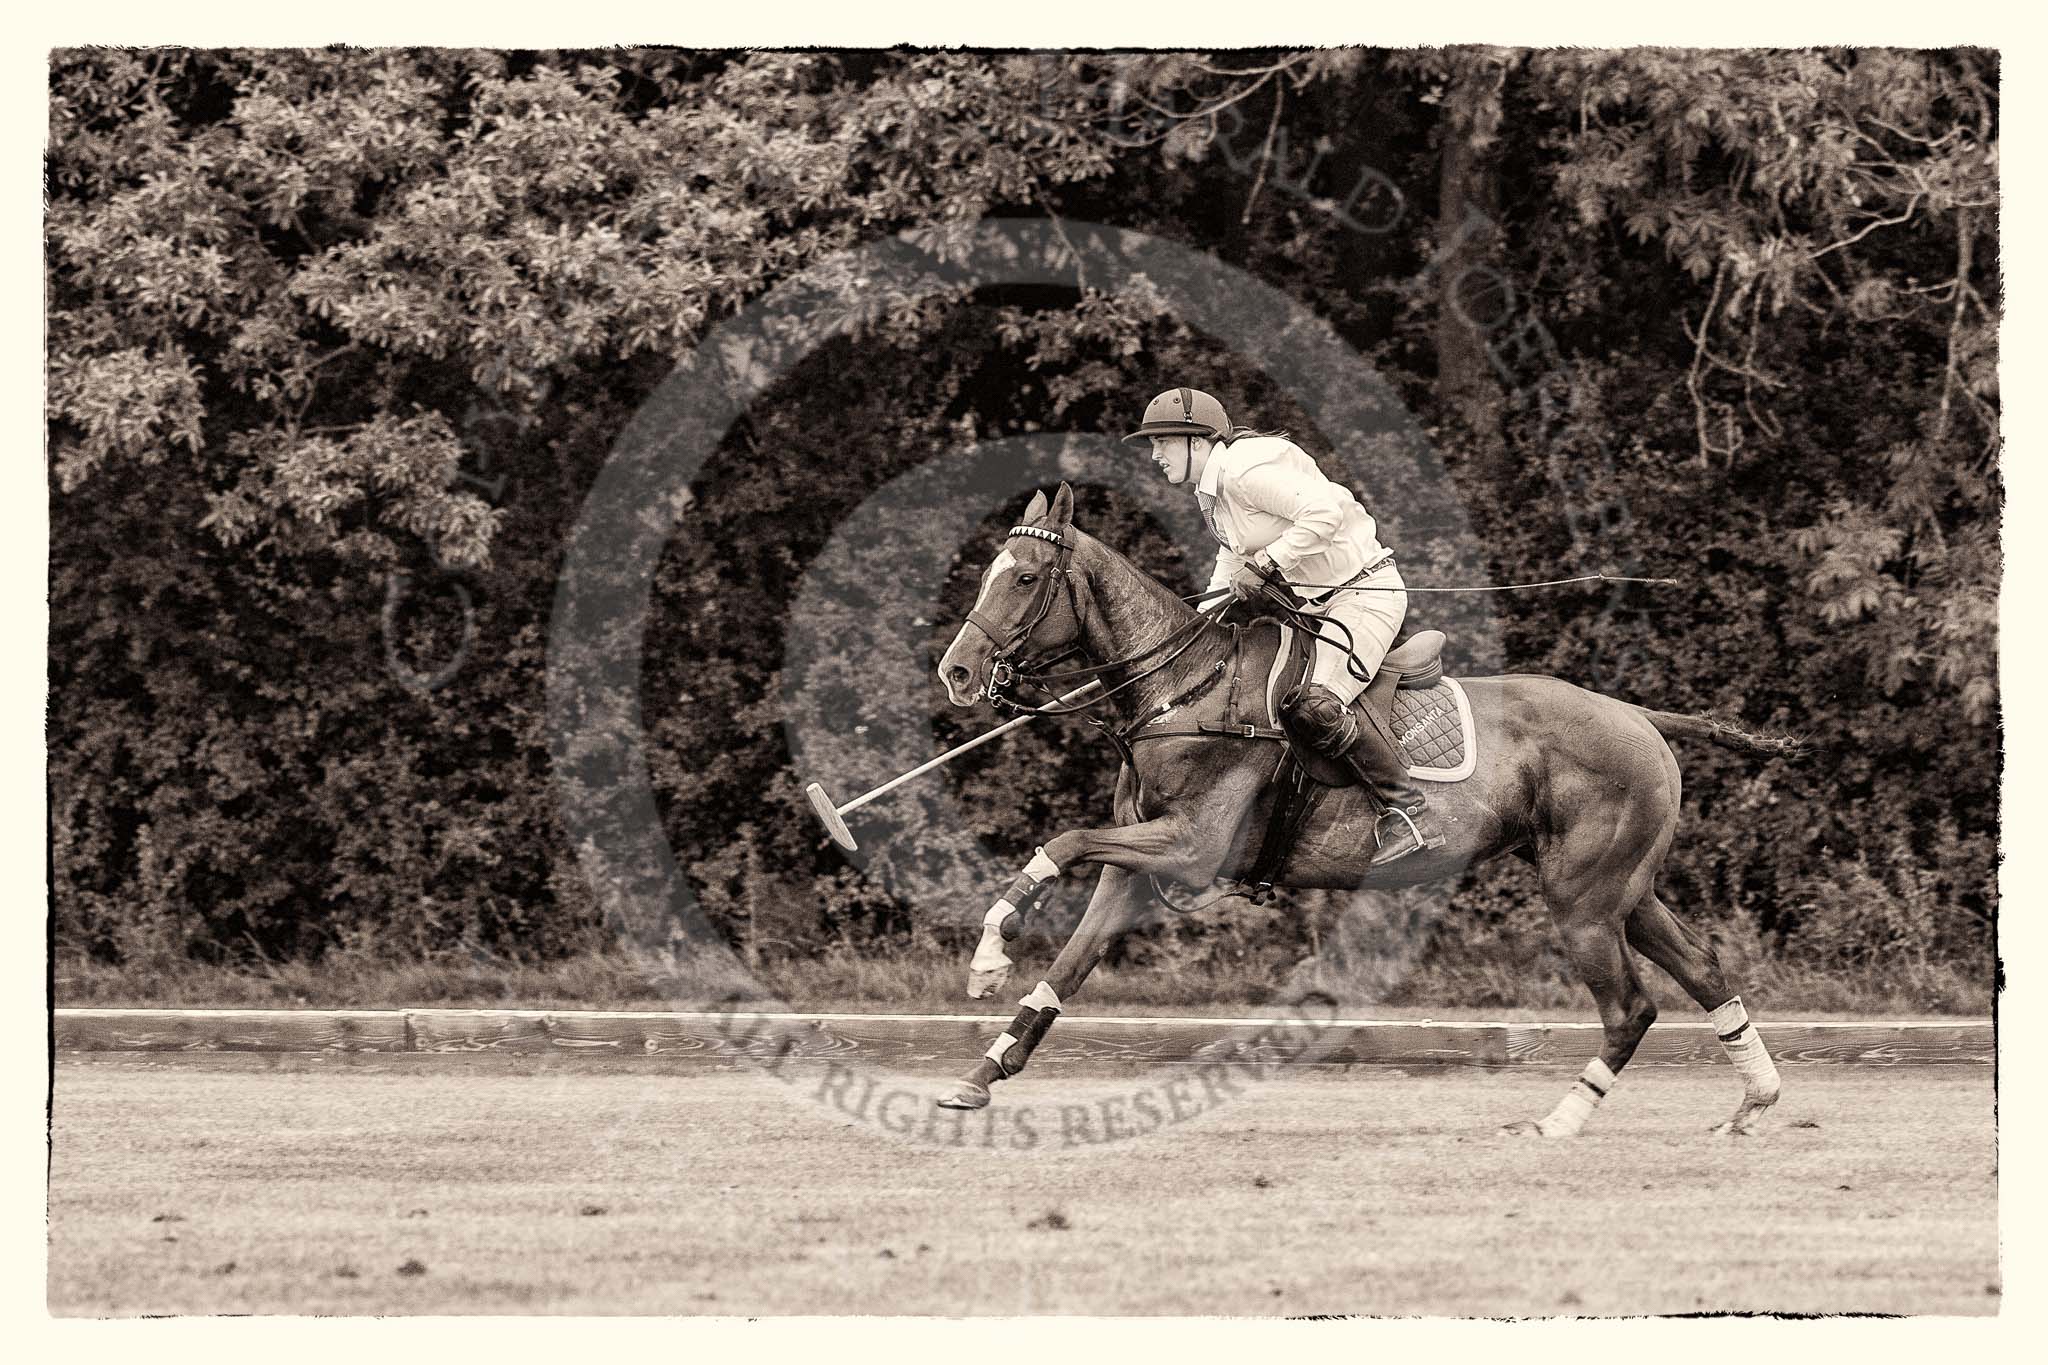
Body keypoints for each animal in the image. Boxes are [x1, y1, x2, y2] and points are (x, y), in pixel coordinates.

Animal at [937, 485, 1802, 1137]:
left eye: (1023, 578)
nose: (957, 671)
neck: (1181, 690)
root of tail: (1640, 716)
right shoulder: (1135, 865)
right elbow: (1064, 968)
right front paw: (980, 1073)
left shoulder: (1189, 846)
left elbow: (1062, 840)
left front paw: (988, 953)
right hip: (1625, 885)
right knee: (1703, 966)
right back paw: (1754, 1100)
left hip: (1584, 898)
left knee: (1630, 1006)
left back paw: (1558, 1121)